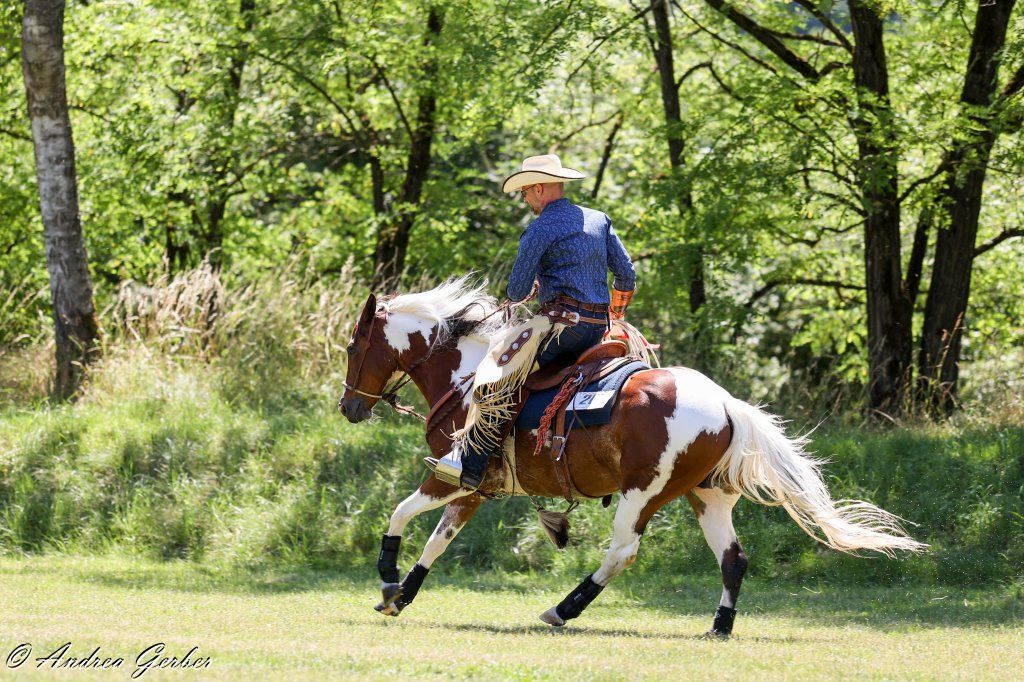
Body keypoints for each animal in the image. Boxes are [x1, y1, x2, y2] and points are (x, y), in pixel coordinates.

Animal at [337, 278, 925, 635]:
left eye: (352, 346)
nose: (348, 406)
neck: (468, 379)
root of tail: (726, 404)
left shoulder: (453, 477)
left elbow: (400, 514)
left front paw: (387, 578)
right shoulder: (476, 489)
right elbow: (437, 541)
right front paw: (401, 595)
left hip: (643, 494)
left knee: (622, 551)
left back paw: (562, 609)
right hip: (706, 496)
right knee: (733, 558)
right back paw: (719, 626)